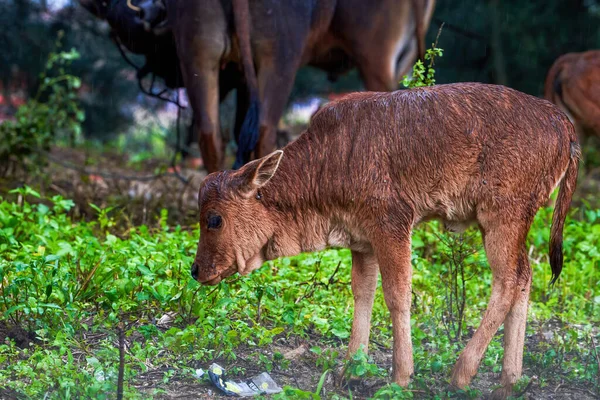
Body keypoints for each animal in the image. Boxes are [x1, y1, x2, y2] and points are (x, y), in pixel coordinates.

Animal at [190, 83, 580, 398]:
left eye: (214, 219)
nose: (195, 270)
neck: (327, 161)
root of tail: (563, 123)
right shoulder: (362, 241)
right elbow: (363, 294)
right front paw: (350, 370)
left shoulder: (391, 225)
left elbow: (397, 295)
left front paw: (400, 377)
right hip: (511, 223)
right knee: (525, 275)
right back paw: (509, 381)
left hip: (501, 217)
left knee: (508, 280)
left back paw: (460, 375)